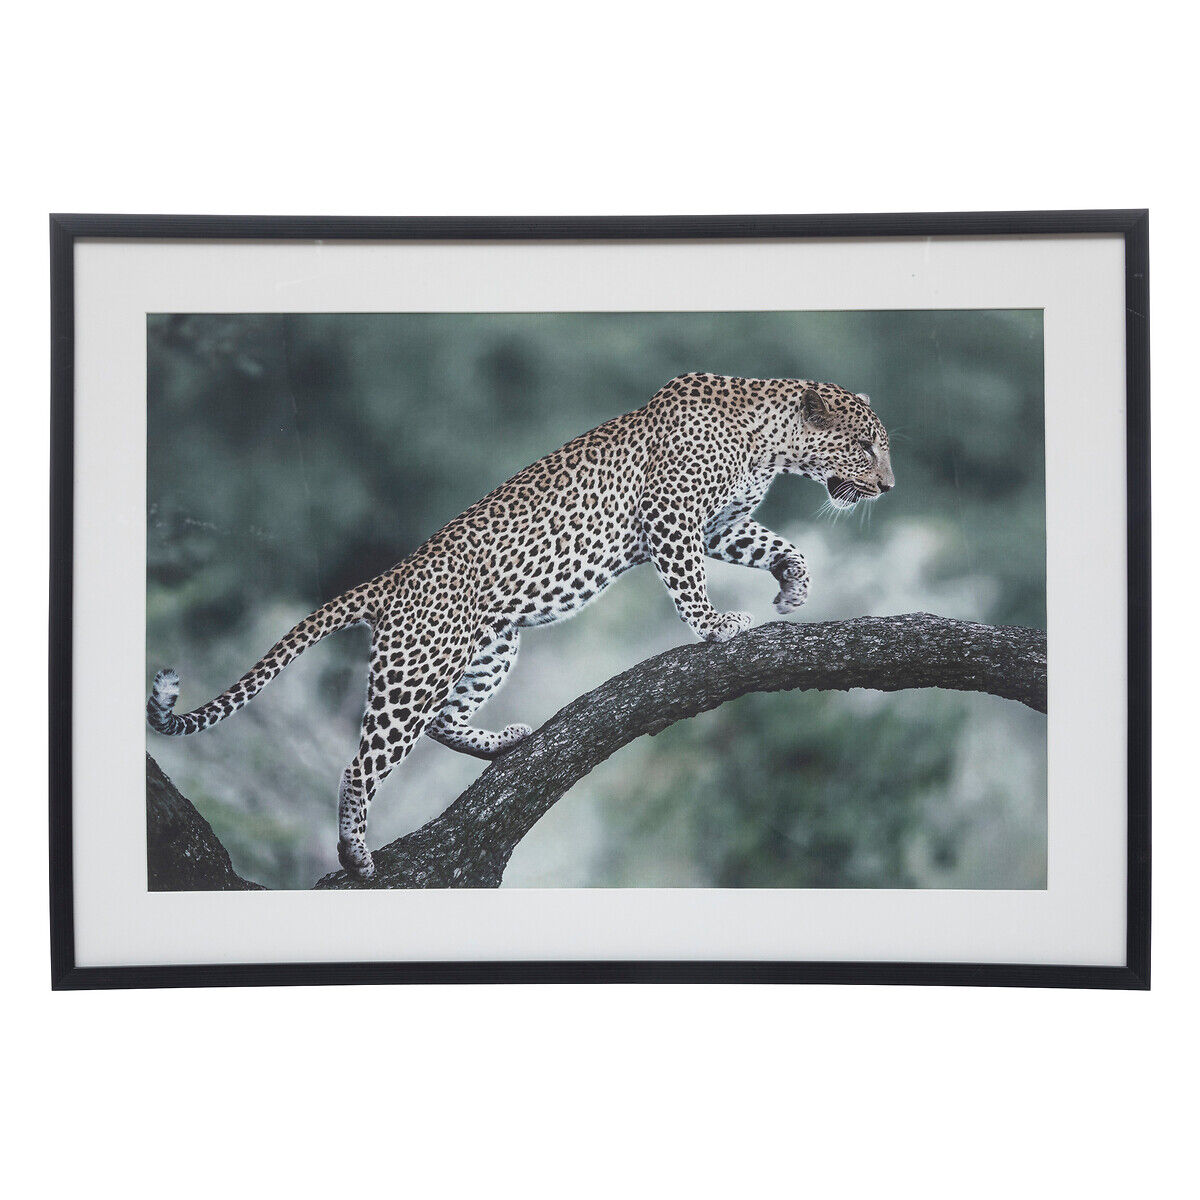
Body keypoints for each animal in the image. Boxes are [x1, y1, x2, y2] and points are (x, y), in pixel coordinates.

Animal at [147, 373, 894, 879]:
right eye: (866, 446)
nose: (889, 487)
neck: (770, 443)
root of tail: (393, 578)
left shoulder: (721, 525)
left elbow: (777, 544)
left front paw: (794, 586)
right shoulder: (671, 519)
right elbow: (689, 584)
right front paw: (716, 626)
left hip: (492, 648)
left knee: (446, 721)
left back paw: (501, 741)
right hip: (415, 670)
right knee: (362, 763)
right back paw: (354, 851)